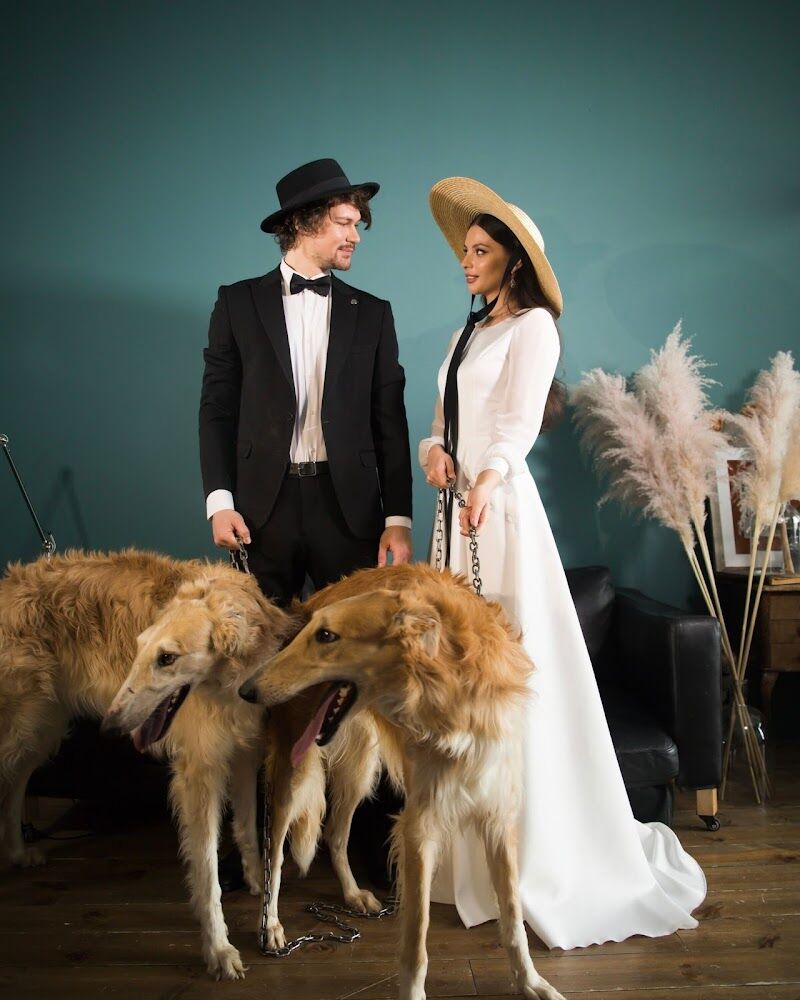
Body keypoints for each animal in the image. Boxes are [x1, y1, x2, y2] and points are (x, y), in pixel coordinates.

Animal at [240, 563, 566, 1000]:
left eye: (326, 636)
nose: (247, 691)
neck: (451, 691)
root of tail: (309, 600)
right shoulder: (419, 827)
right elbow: (417, 940)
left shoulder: (498, 816)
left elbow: (514, 920)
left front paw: (531, 982)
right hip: (294, 775)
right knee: (275, 854)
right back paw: (272, 925)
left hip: (360, 771)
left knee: (335, 834)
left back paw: (352, 894)